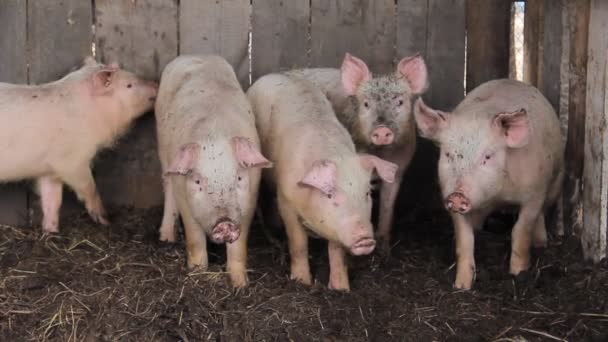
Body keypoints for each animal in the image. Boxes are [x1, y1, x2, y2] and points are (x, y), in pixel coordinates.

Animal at [0, 56, 159, 234]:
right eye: (129, 85)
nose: (156, 83)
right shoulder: (71, 161)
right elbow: (90, 188)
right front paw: (105, 220)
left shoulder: (49, 170)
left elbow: (53, 201)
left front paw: (51, 232)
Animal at [154, 54, 270, 288]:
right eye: (198, 182)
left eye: (239, 178)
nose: (224, 222)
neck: (214, 135)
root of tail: (196, 55)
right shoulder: (184, 196)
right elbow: (194, 238)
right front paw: (198, 273)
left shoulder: (250, 199)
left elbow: (239, 246)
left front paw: (240, 284)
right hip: (162, 147)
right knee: (167, 186)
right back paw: (166, 238)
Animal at [247, 74, 400, 292]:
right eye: (329, 194)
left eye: (367, 193)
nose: (364, 239)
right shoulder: (287, 201)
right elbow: (298, 243)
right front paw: (302, 282)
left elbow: (336, 251)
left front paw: (341, 289)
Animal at [288, 52, 428, 251]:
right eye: (366, 104)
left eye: (400, 102)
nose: (382, 130)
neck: (380, 152)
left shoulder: (399, 168)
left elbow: (388, 206)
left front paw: (384, 250)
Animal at [414, 79, 564, 290]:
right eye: (449, 155)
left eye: (487, 156)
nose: (458, 195)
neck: (498, 196)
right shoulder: (448, 196)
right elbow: (465, 240)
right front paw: (461, 286)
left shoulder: (534, 194)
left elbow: (521, 231)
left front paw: (518, 274)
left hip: (556, 182)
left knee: (543, 212)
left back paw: (541, 243)